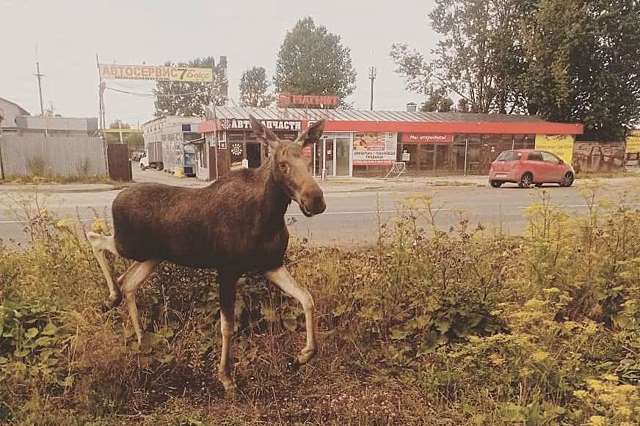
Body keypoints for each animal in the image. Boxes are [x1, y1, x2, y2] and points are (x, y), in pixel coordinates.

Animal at [86, 115, 327, 393]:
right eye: (283, 164)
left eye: (309, 162)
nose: (315, 200)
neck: (269, 217)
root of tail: (117, 197)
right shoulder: (227, 269)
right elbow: (227, 326)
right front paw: (226, 376)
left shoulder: (271, 265)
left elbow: (307, 298)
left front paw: (303, 355)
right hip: (130, 245)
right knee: (95, 239)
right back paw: (112, 299)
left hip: (151, 257)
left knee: (128, 283)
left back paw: (139, 336)